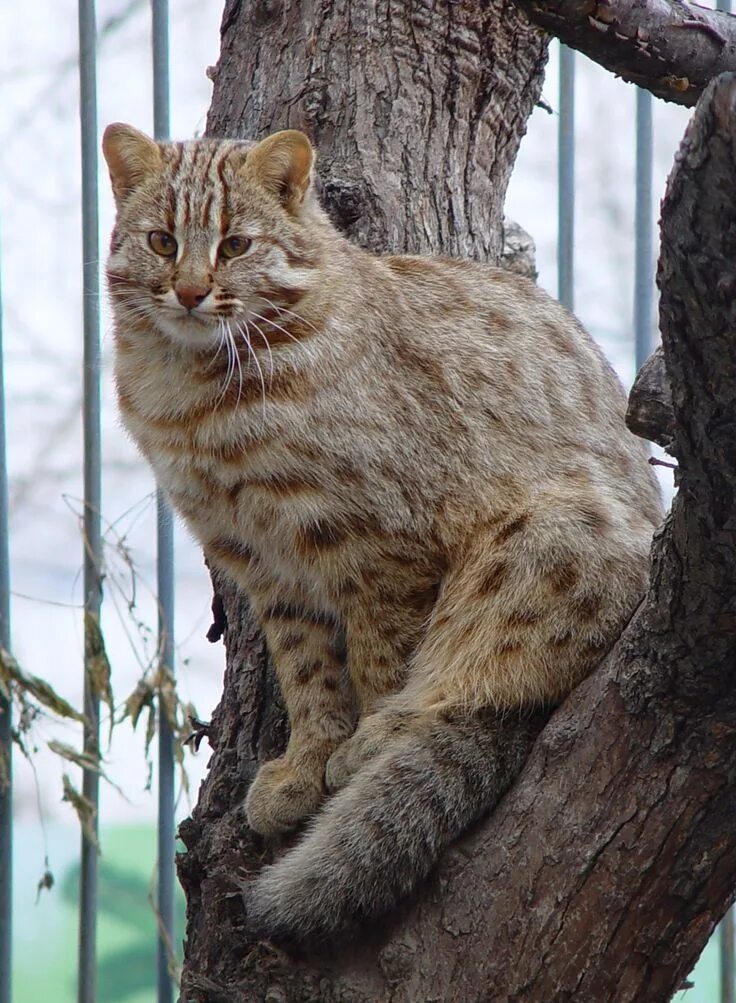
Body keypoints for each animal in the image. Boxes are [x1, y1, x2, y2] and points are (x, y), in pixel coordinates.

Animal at [100, 121, 661, 942]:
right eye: (162, 240)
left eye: (236, 244)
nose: (193, 291)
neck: (196, 393)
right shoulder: (260, 559)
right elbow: (307, 670)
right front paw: (305, 762)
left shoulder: (382, 543)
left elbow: (381, 657)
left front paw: (355, 745)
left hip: (544, 536)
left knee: (481, 676)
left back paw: (391, 735)